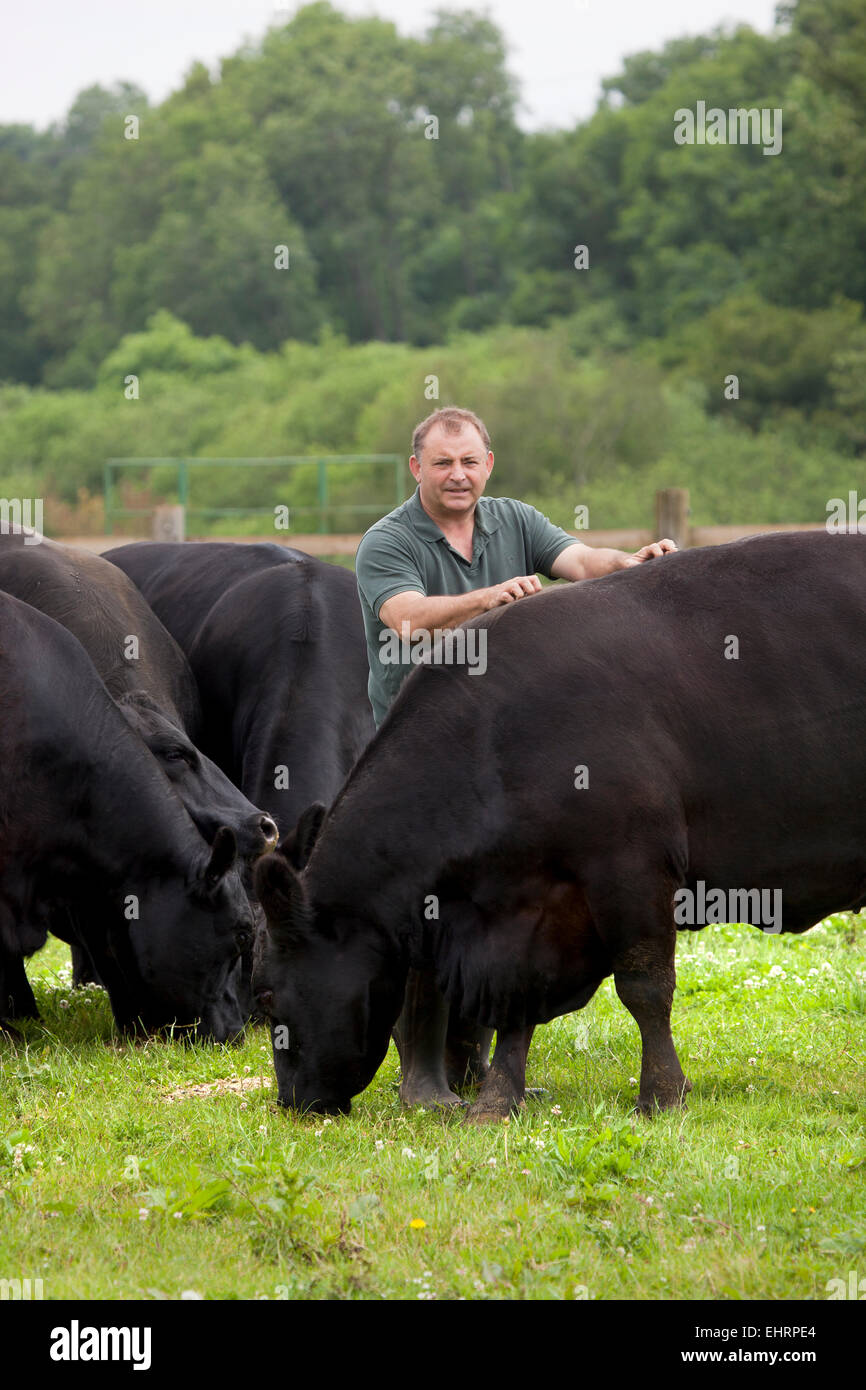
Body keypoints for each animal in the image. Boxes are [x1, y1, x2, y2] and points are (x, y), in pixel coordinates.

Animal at [252, 530, 866, 1117]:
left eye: (267, 999)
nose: (291, 1100)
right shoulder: (527, 910)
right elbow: (516, 1008)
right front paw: (497, 1100)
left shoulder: (632, 867)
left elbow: (645, 988)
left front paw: (662, 1094)